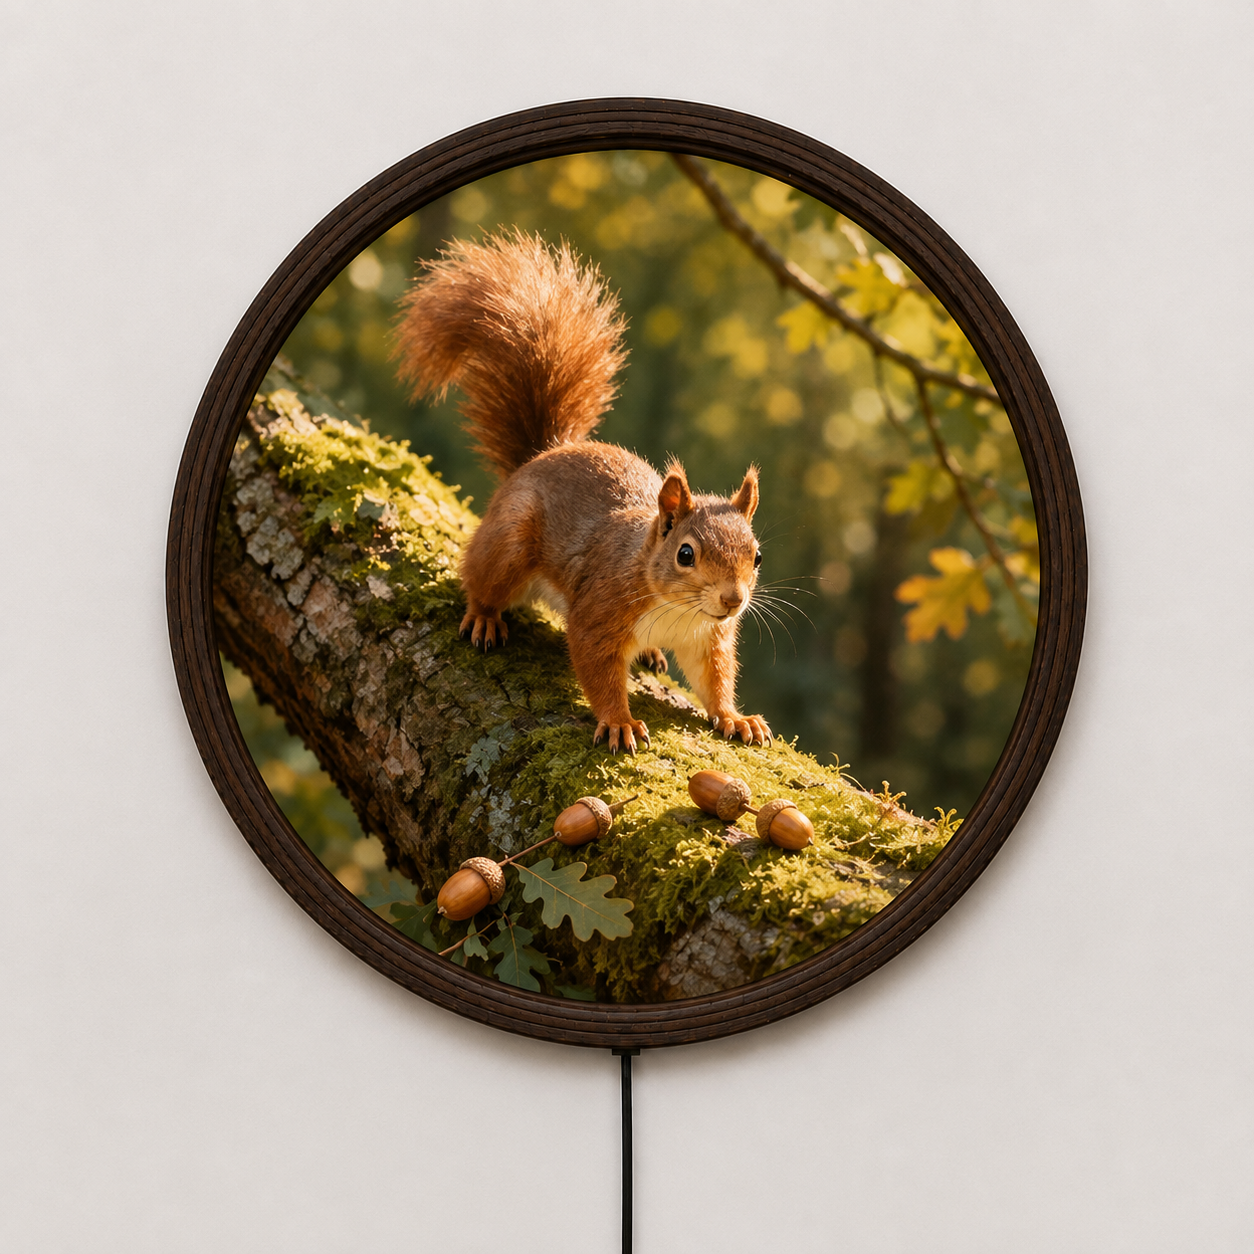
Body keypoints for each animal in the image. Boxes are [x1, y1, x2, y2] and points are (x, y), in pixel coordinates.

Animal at [392, 231, 772, 754]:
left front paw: (735, 718)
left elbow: (714, 681)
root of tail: (541, 455)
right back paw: (484, 616)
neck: (674, 606)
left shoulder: (708, 638)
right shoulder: (600, 611)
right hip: (510, 541)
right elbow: (596, 668)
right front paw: (619, 722)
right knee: (480, 577)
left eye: (756, 556)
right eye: (686, 554)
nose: (733, 600)